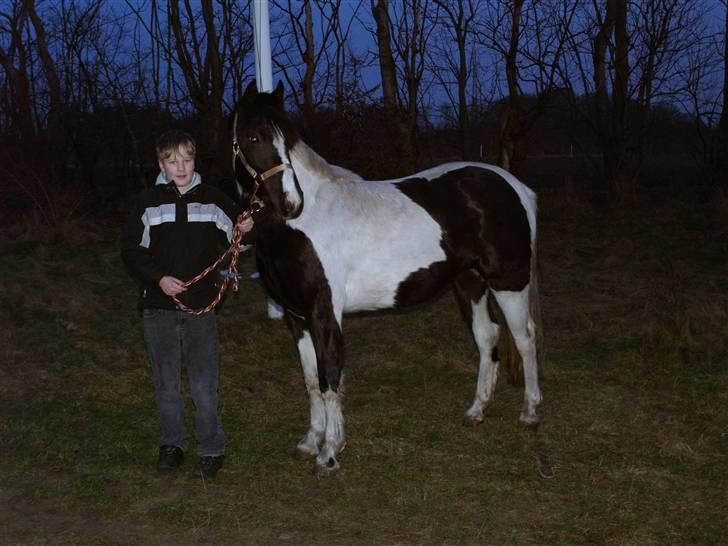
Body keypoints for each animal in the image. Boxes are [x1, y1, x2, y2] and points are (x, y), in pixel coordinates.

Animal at [232, 82, 543, 472]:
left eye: (286, 141)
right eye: (252, 137)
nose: (290, 202)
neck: (302, 224)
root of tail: (515, 186)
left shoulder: (324, 313)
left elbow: (330, 377)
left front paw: (330, 452)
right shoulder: (296, 316)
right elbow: (311, 379)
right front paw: (310, 441)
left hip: (509, 283)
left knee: (525, 337)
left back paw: (530, 411)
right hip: (470, 284)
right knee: (489, 338)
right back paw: (476, 410)